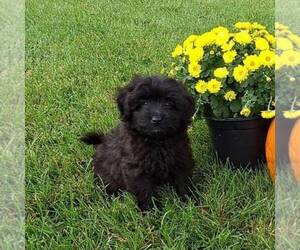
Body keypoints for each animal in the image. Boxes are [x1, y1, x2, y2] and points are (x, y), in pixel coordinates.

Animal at [81, 75, 196, 210]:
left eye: (168, 103)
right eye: (144, 103)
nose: (156, 119)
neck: (156, 141)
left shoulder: (181, 159)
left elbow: (184, 182)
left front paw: (190, 203)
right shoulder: (136, 169)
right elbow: (144, 190)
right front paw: (151, 210)